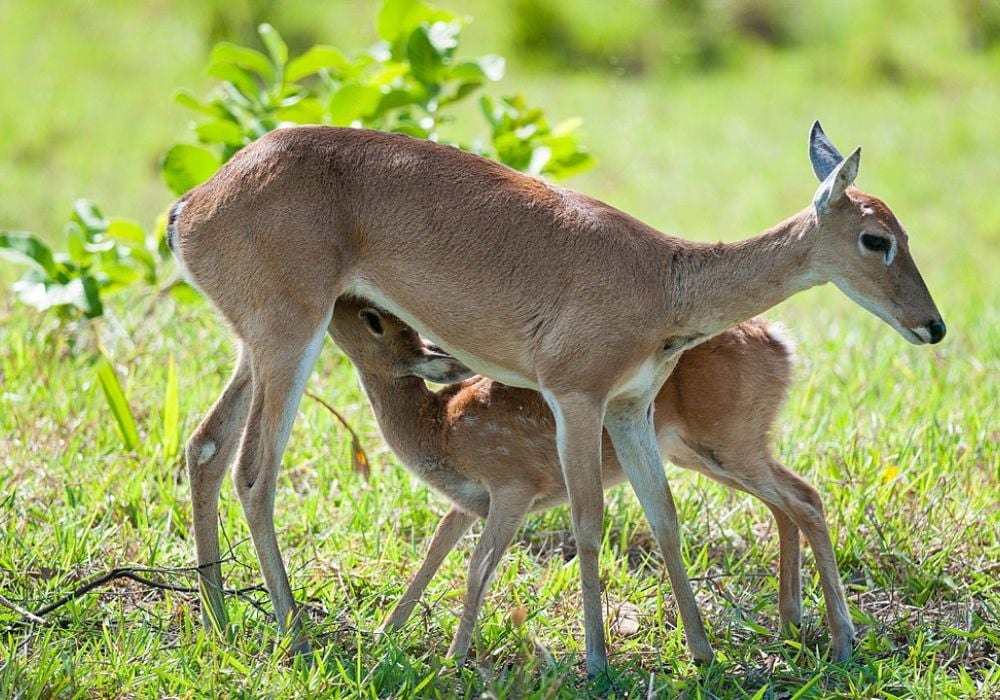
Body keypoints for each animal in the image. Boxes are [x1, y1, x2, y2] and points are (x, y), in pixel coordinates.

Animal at [326, 296, 835, 664]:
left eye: (372, 319)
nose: (339, 298)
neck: (439, 426)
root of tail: (781, 342)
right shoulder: (469, 503)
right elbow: (434, 550)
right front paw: (383, 632)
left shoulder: (512, 482)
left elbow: (476, 567)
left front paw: (452, 658)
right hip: (700, 450)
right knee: (786, 504)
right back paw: (792, 621)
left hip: (729, 437)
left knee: (806, 497)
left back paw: (838, 638)